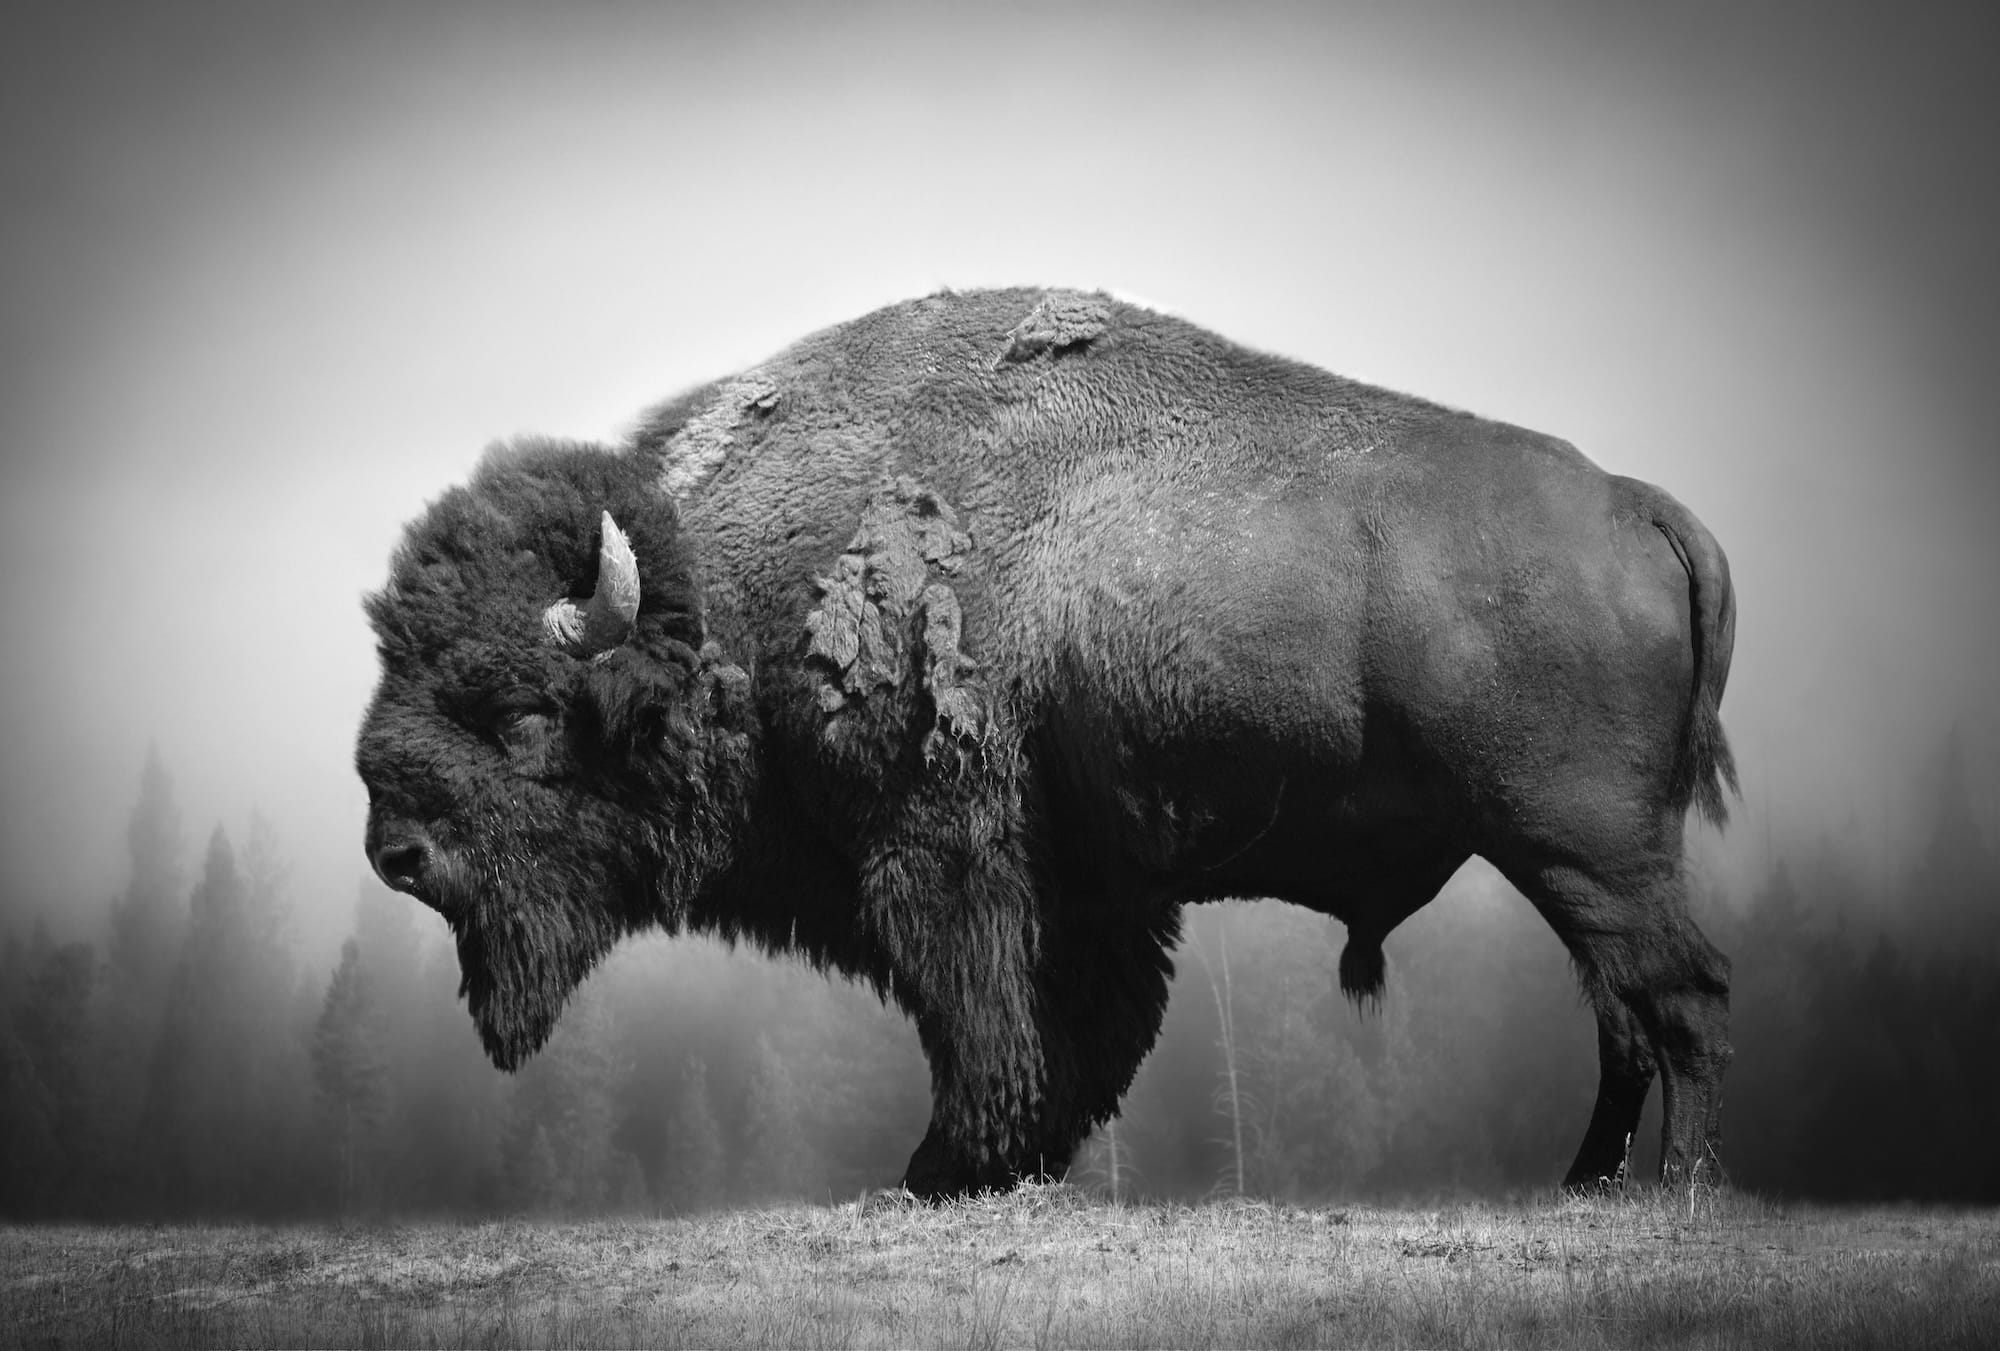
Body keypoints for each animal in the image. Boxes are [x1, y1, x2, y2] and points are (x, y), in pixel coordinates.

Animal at [357, 287, 1738, 1197]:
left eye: (522, 713)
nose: (396, 851)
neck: (736, 587)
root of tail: (1639, 507)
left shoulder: (941, 847)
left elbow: (984, 1013)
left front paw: (937, 1168)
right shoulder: (1089, 880)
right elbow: (1077, 1030)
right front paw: (1012, 1161)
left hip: (1583, 850)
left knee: (1673, 998)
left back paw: (1665, 1184)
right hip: (1575, 860)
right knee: (1627, 1010)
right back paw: (1584, 1181)